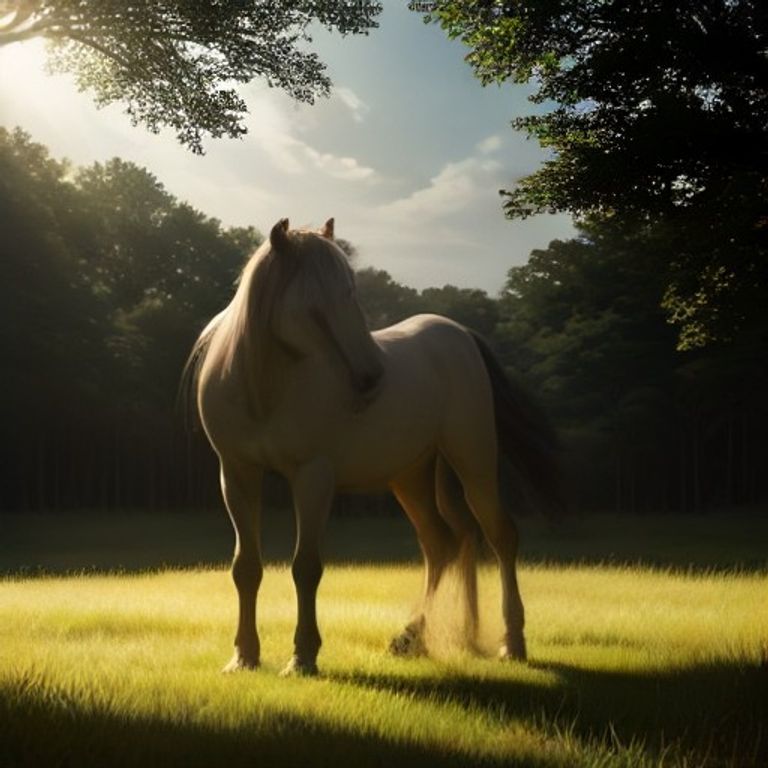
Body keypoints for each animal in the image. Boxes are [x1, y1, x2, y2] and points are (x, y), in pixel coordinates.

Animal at [186, 217, 562, 676]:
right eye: (314, 303)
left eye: (351, 292)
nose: (370, 377)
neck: (265, 388)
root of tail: (460, 334)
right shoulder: (237, 475)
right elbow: (246, 568)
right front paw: (244, 656)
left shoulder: (313, 477)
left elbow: (305, 567)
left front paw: (303, 656)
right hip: (414, 475)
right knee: (444, 543)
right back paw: (429, 637)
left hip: (473, 459)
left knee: (499, 535)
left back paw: (511, 642)